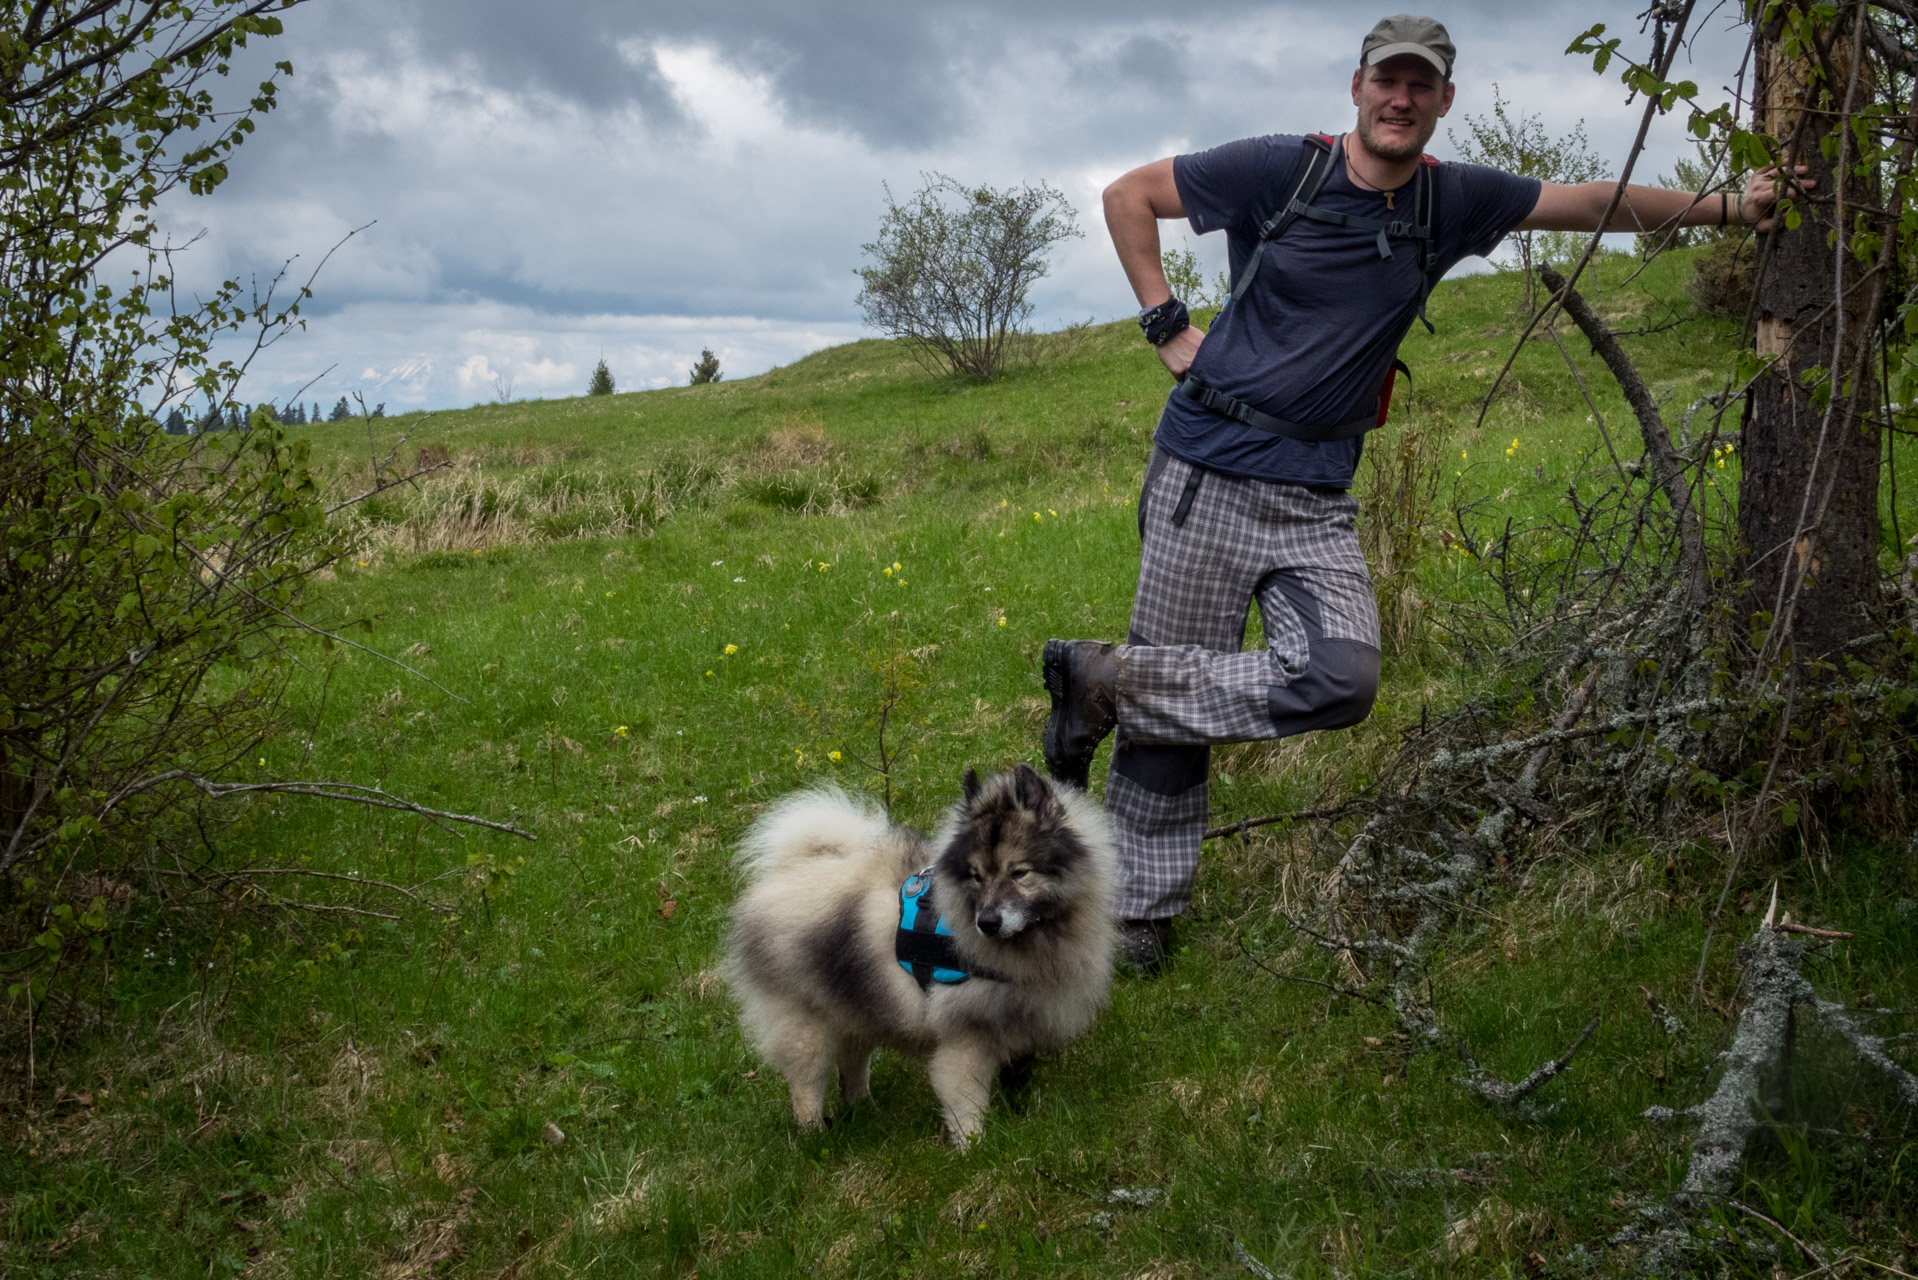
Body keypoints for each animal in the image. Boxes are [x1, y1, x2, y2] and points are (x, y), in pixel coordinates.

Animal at [721, 767, 1120, 1143]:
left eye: (1019, 872)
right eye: (976, 876)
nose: (988, 922)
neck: (1033, 938)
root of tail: (790, 871)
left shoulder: (1020, 1017)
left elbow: (1017, 1076)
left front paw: (1020, 1114)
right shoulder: (965, 1037)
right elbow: (966, 1098)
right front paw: (974, 1146)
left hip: (856, 1004)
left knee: (853, 1063)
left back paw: (865, 1111)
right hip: (806, 1023)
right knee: (807, 1083)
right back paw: (815, 1136)